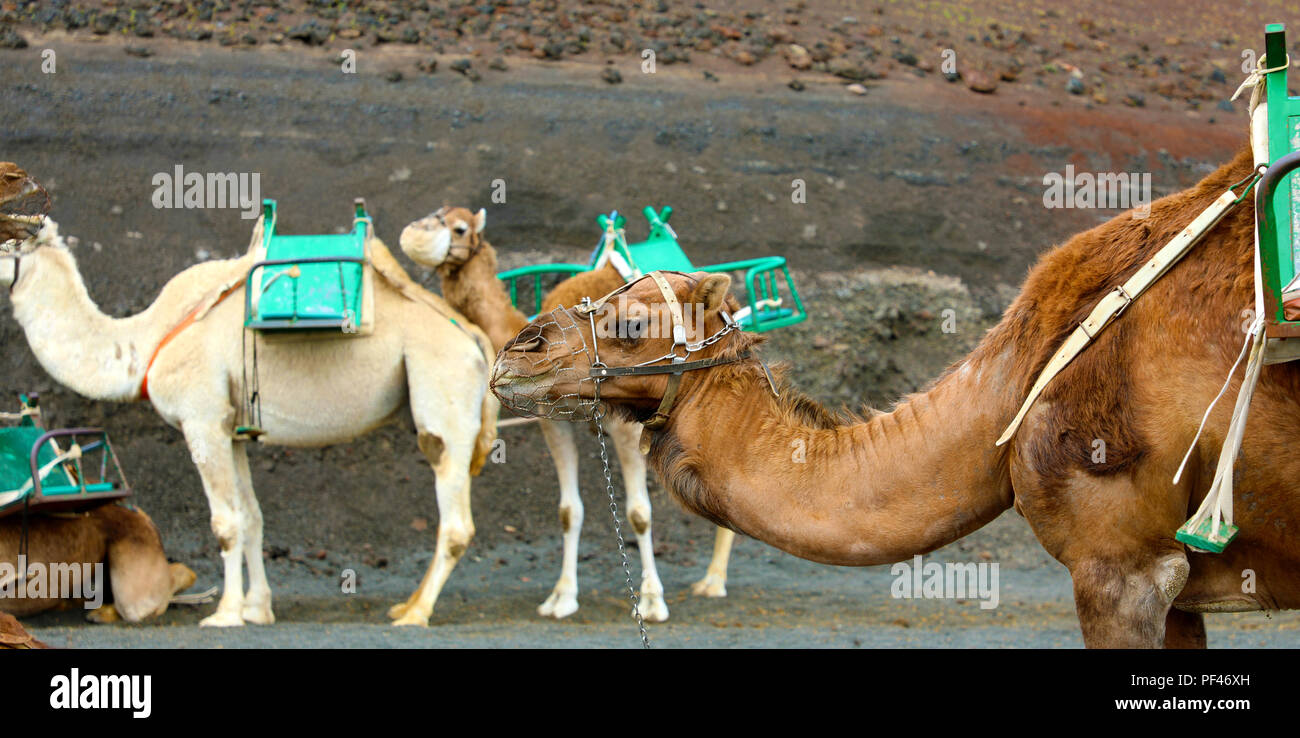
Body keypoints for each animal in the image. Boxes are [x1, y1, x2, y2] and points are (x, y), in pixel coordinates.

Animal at [398, 206, 735, 622]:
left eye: (458, 227)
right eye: (436, 214)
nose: (414, 232)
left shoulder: (624, 425)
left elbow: (639, 512)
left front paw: (653, 601)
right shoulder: (552, 423)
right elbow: (568, 511)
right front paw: (561, 597)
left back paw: (714, 582)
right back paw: (711, 579)